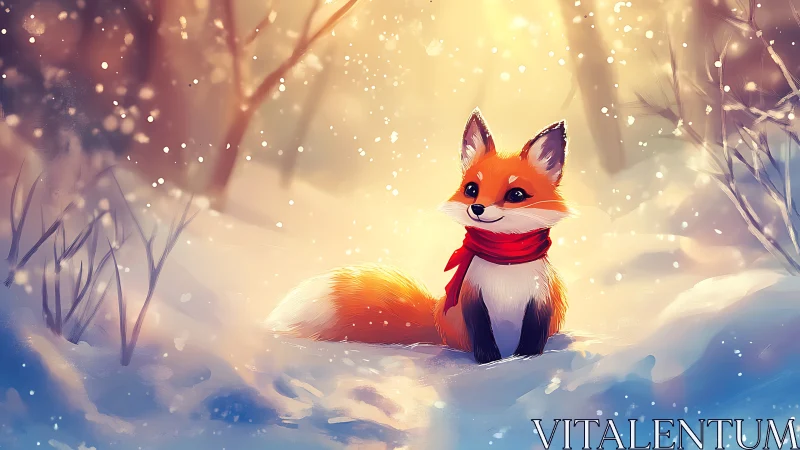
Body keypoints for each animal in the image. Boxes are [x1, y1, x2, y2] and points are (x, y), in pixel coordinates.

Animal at [265, 108, 571, 364]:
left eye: (516, 194)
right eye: (472, 189)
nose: (477, 208)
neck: (505, 262)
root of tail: (436, 319)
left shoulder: (540, 300)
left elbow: (532, 337)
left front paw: (523, 360)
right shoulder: (472, 298)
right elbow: (483, 336)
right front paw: (490, 363)